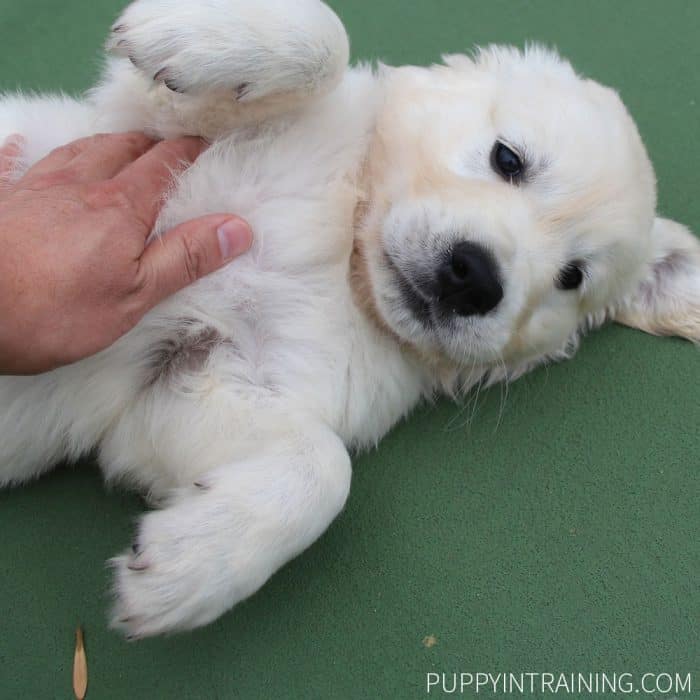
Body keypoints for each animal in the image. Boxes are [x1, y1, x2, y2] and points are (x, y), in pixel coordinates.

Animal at [0, 0, 696, 636]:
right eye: (508, 159)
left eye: (572, 277)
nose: (474, 278)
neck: (345, 254)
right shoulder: (150, 128)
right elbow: (327, 37)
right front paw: (190, 34)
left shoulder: (176, 386)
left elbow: (325, 468)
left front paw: (190, 564)